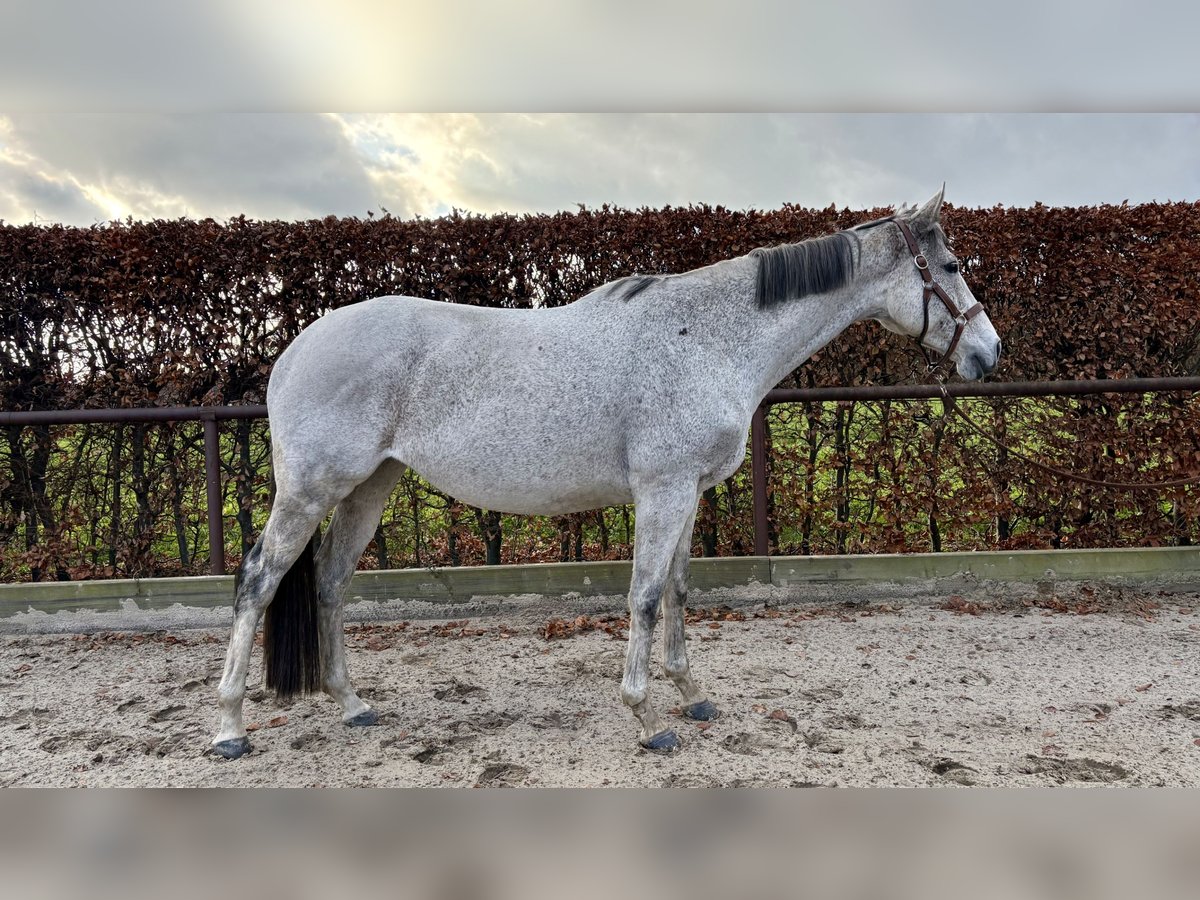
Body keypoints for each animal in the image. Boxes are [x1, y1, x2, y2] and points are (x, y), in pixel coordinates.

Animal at [210, 188, 1002, 759]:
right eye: (952, 268)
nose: (988, 355)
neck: (710, 337)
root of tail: (294, 350)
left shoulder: (688, 495)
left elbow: (678, 590)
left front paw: (693, 694)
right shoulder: (662, 492)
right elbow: (645, 598)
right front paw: (647, 720)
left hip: (368, 488)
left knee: (329, 583)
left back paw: (352, 705)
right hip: (311, 490)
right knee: (259, 579)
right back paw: (229, 728)